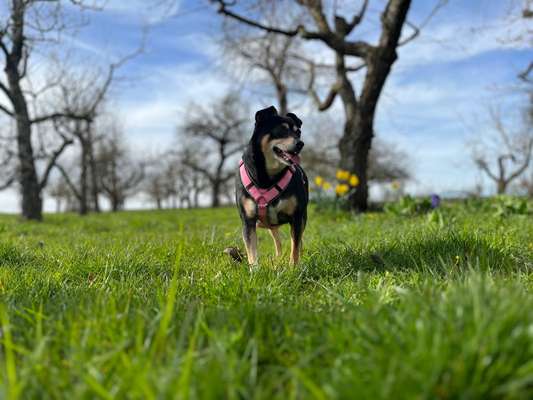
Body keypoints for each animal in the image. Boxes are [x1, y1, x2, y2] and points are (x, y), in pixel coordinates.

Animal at [234, 106, 306, 266]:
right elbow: (252, 250)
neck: (267, 177)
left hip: (302, 217)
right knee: (276, 239)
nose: (300, 144)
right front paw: (255, 269)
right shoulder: (248, 221)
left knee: (296, 240)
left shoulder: (296, 217)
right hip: (265, 224)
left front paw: (294, 267)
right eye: (281, 130)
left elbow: (295, 247)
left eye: (298, 132)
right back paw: (278, 258)